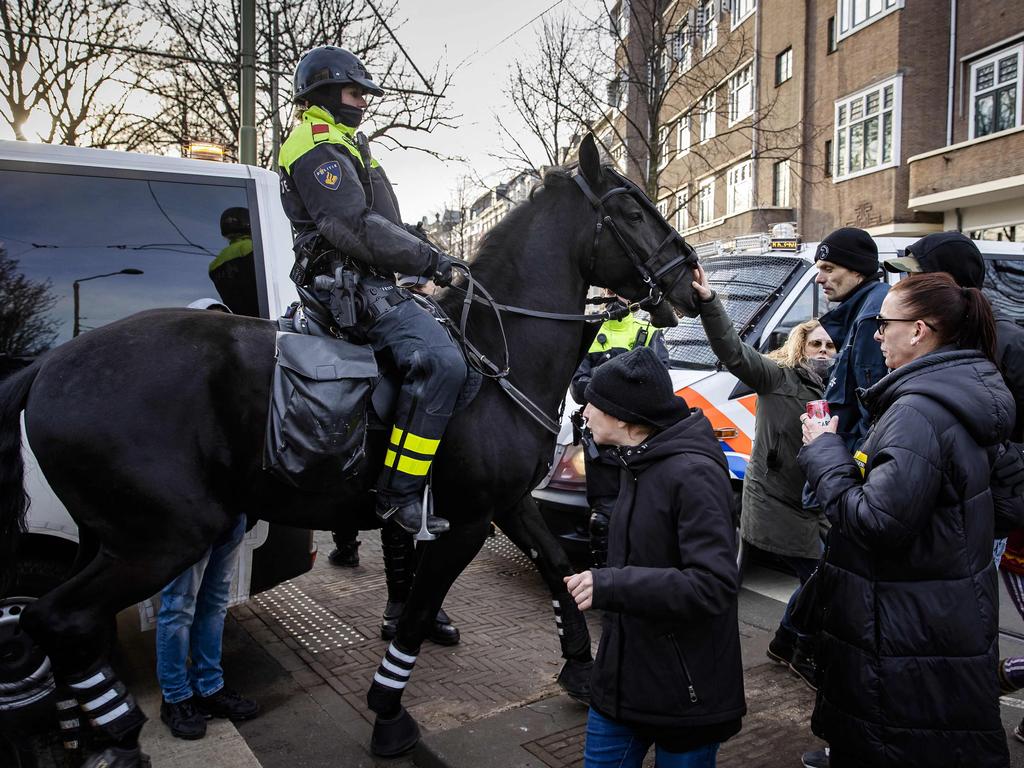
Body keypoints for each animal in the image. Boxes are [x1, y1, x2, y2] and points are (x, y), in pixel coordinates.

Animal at [0, 135, 700, 761]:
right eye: (631, 210)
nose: (692, 281)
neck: (495, 353)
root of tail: (48, 366)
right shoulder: (466, 521)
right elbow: (416, 613)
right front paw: (388, 715)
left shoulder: (507, 504)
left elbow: (558, 565)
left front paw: (579, 667)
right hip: (163, 537)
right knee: (55, 620)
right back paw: (119, 733)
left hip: (114, 537)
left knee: (68, 626)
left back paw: (95, 730)